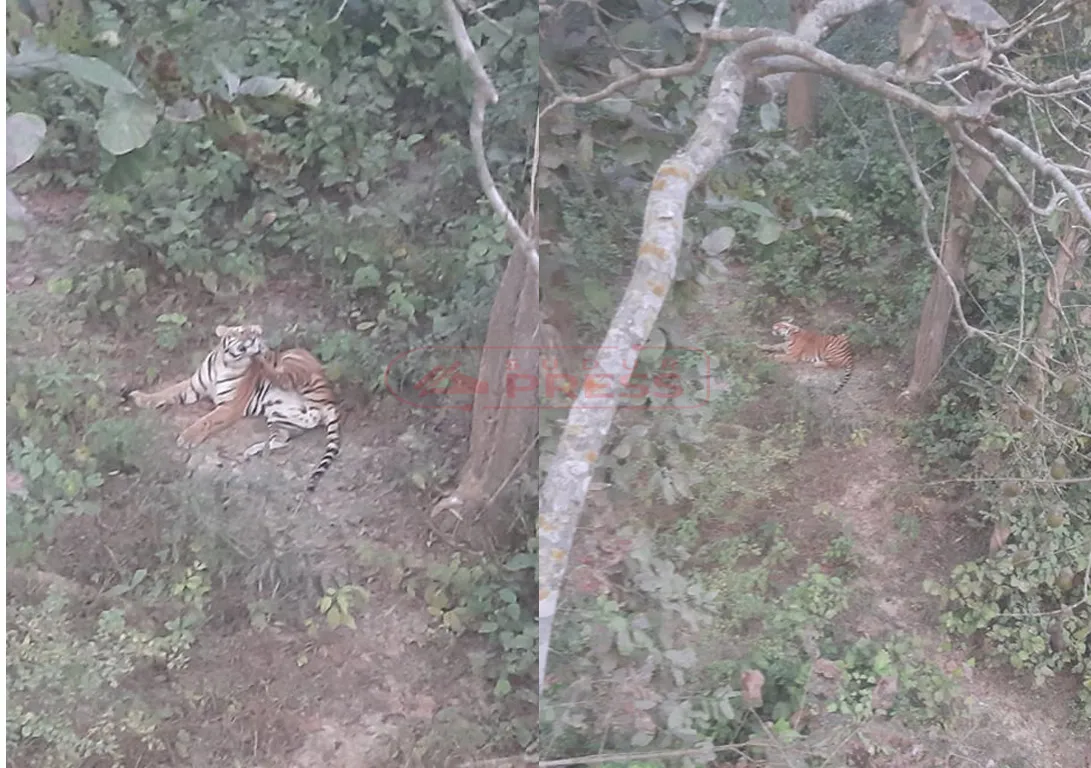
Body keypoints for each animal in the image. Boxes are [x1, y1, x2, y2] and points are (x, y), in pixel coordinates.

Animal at [122, 324, 341, 492]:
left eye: (255, 332)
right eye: (243, 331)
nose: (256, 338)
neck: (226, 363)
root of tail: (330, 398)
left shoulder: (229, 406)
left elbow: (205, 420)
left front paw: (187, 437)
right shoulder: (193, 387)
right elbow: (167, 392)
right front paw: (141, 398)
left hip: (293, 363)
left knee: (283, 378)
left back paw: (263, 358)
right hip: (279, 416)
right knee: (282, 439)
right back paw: (253, 451)